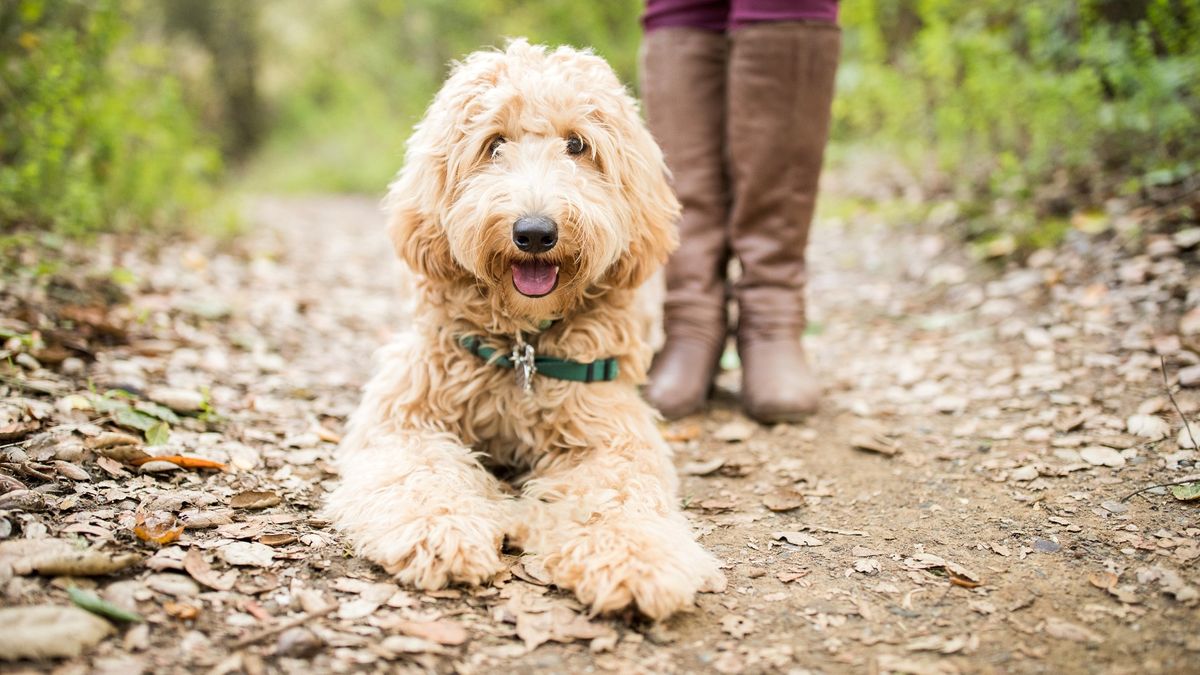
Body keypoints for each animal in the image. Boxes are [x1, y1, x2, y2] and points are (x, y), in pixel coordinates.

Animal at [324, 38, 724, 614]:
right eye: (494, 144)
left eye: (578, 145)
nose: (535, 232)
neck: (523, 346)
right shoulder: (406, 416)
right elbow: (419, 473)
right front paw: (440, 531)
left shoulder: (610, 429)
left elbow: (617, 495)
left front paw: (633, 559)